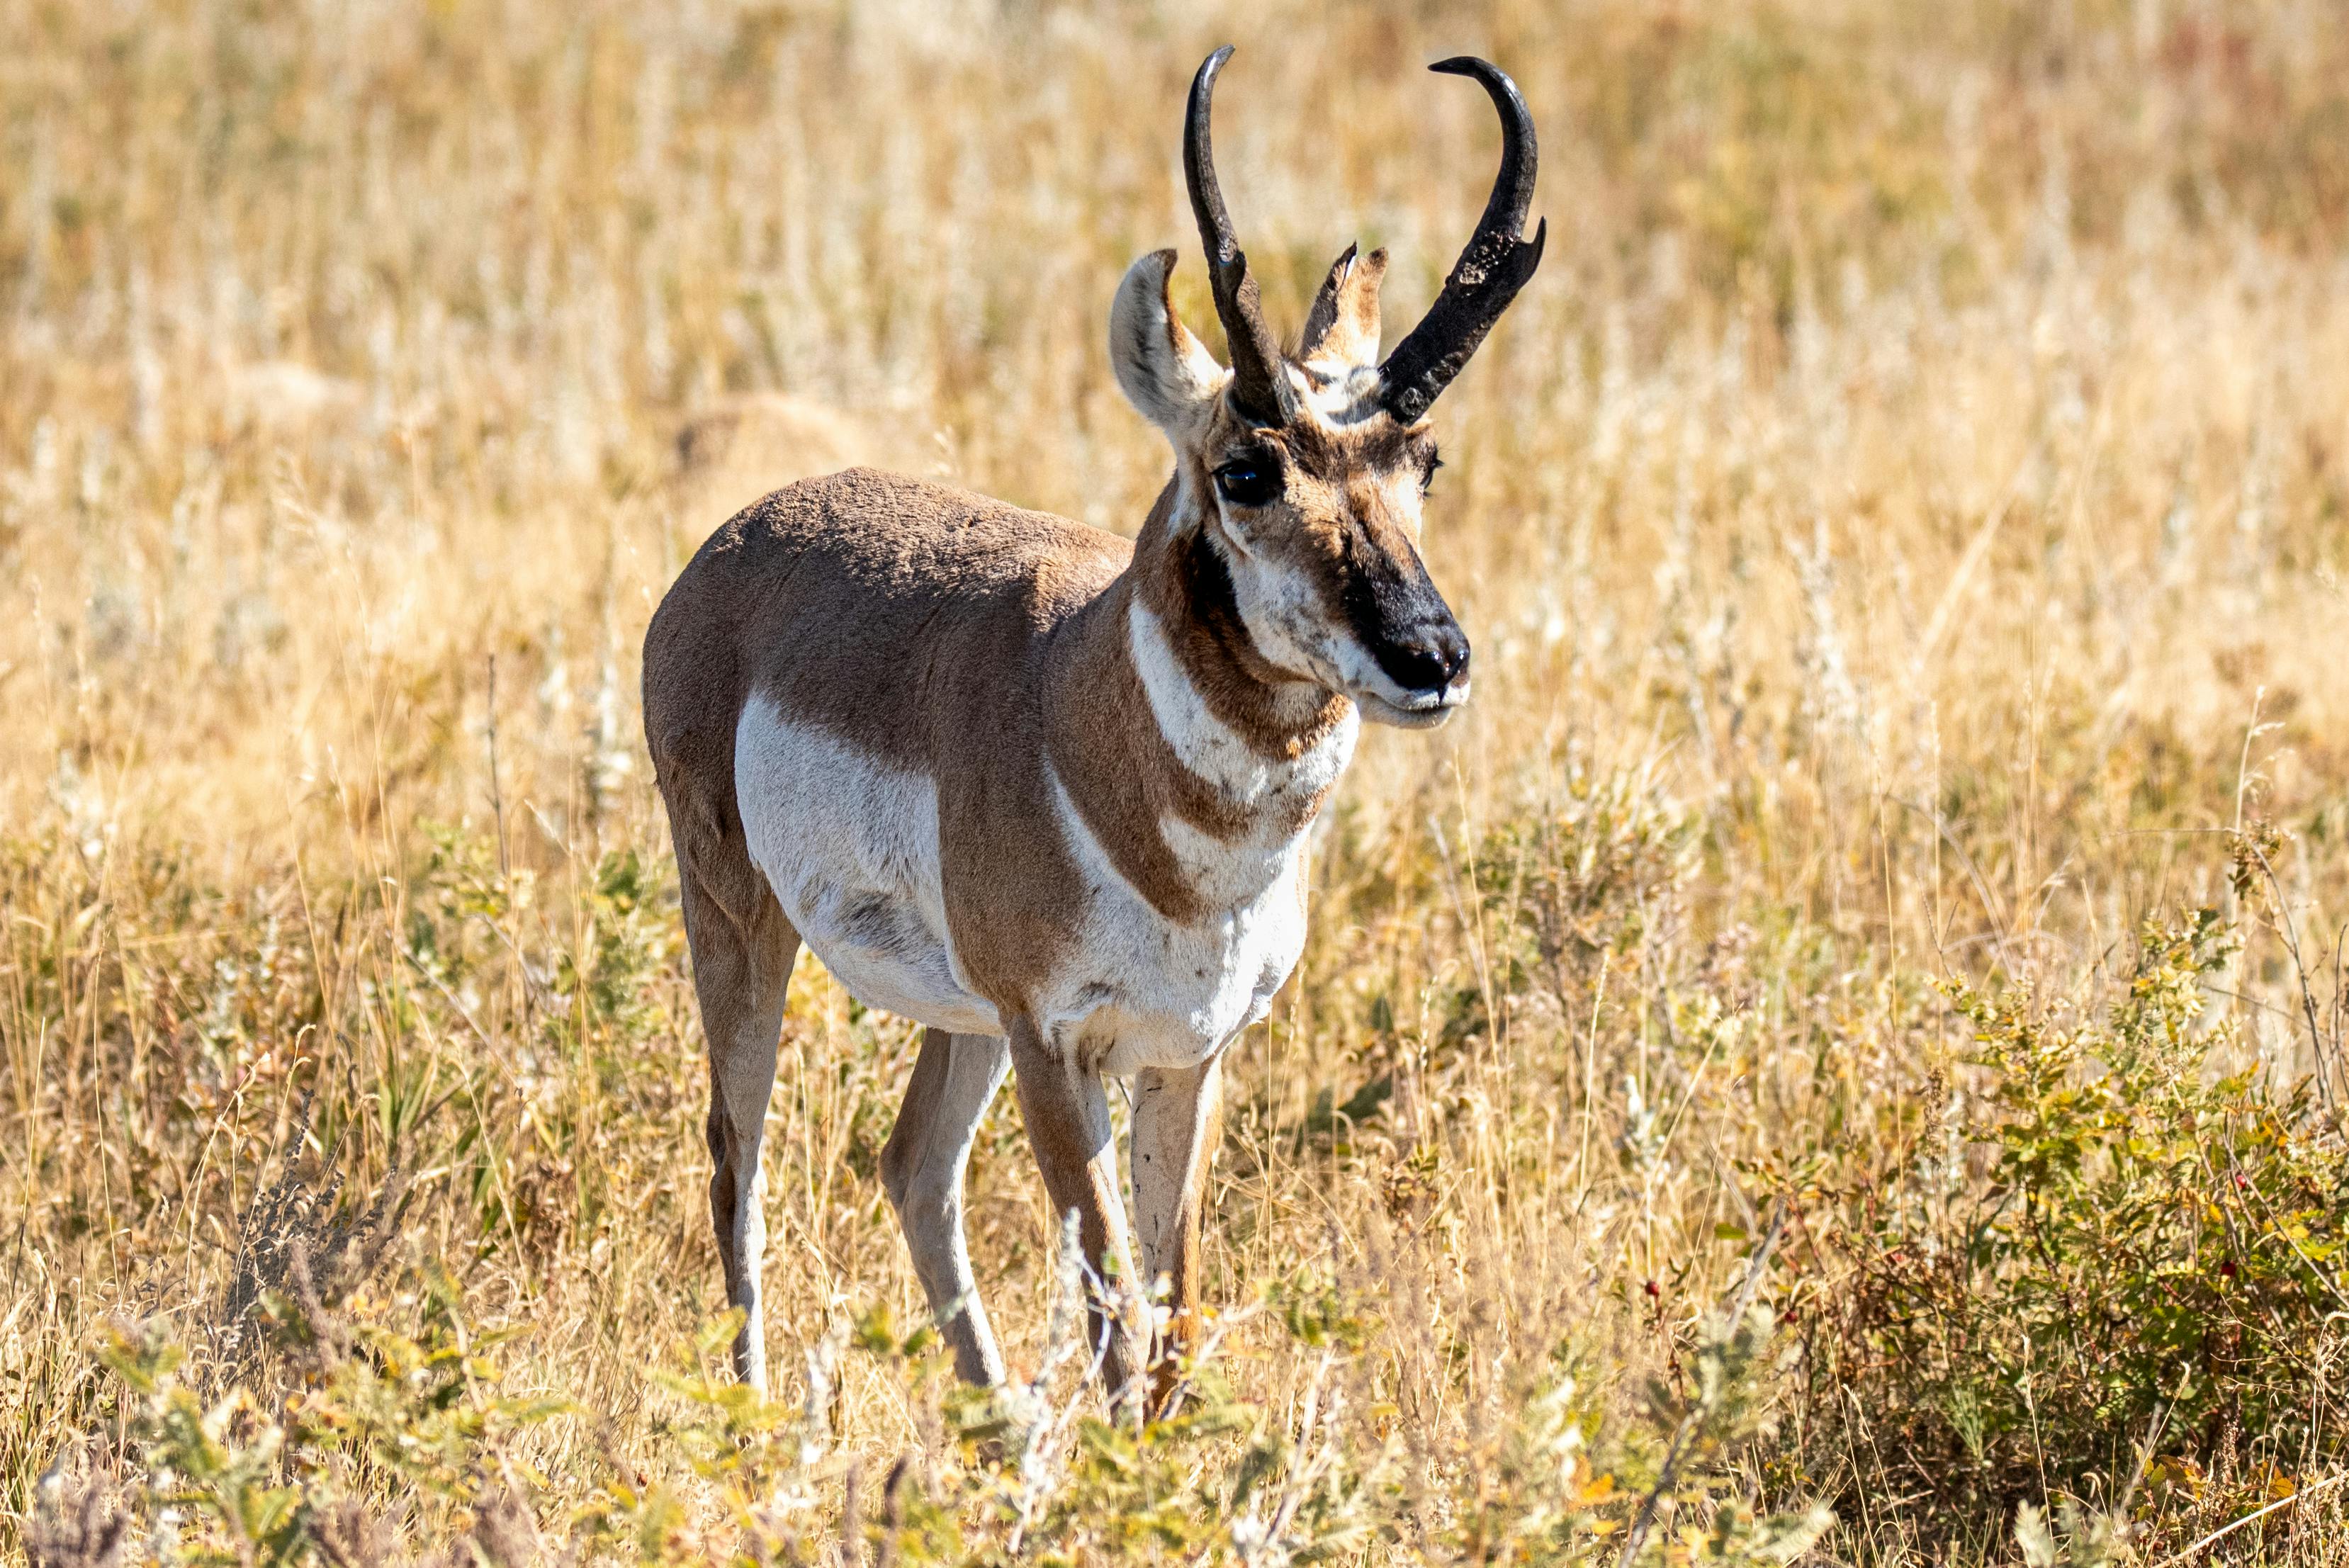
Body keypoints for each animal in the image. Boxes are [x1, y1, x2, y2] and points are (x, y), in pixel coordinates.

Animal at [642, 46, 1543, 1407]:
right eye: (1247, 470)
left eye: (1421, 462)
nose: (1432, 657)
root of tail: (736, 542)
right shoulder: (1057, 1046)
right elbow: (1116, 1315)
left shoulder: (1187, 1057)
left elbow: (1166, 1322)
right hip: (745, 930)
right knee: (735, 1162)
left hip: (960, 1020)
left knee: (912, 1165)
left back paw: (1003, 1428)